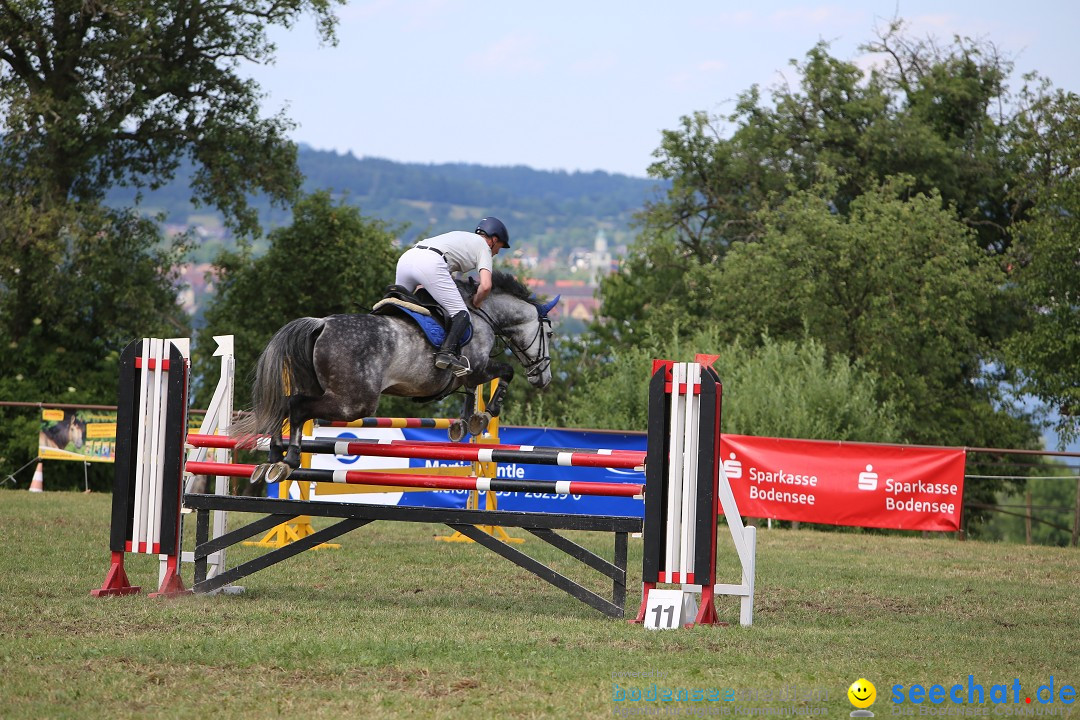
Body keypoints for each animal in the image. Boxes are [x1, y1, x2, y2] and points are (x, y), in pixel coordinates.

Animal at [234, 269, 557, 483]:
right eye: (550, 333)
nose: (544, 378)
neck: (482, 314)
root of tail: (320, 325)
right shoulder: (477, 367)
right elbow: (506, 372)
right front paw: (483, 416)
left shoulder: (467, 375)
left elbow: (469, 391)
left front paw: (463, 424)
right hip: (353, 403)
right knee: (297, 407)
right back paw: (287, 461)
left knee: (285, 405)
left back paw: (272, 458)